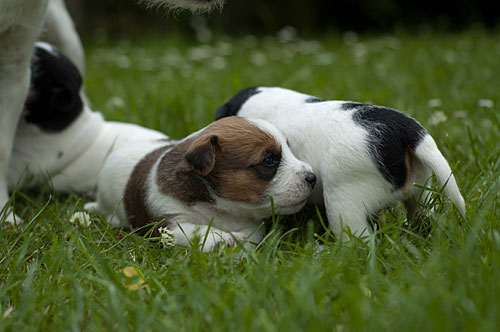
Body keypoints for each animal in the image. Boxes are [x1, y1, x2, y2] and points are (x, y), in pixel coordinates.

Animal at [83, 116, 314, 252]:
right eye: (269, 160)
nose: (313, 178)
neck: (216, 206)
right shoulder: (170, 223)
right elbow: (197, 231)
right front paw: (223, 238)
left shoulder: (251, 224)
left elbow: (251, 236)